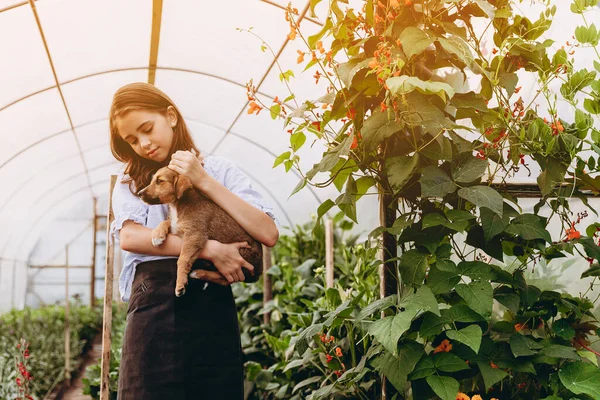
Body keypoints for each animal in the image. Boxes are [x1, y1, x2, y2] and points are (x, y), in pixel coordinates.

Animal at [139, 166, 264, 296]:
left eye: (159, 181)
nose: (139, 193)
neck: (178, 205)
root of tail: (259, 273)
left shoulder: (194, 236)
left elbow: (182, 259)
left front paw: (180, 284)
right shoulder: (177, 225)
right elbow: (166, 222)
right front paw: (157, 235)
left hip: (243, 254)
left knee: (225, 279)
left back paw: (198, 273)